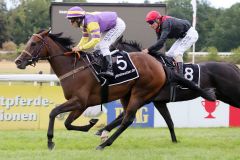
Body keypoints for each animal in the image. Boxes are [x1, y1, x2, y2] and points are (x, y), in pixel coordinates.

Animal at [14, 29, 215, 150]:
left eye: (33, 44)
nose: (18, 61)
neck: (73, 67)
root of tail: (160, 65)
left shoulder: (80, 101)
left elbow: (54, 113)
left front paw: (50, 140)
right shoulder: (80, 104)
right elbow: (67, 123)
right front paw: (90, 124)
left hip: (140, 92)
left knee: (128, 119)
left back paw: (105, 143)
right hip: (128, 95)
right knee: (126, 116)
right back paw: (105, 136)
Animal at [95, 37, 240, 142]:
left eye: (111, 49)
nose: (97, 58)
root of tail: (232, 66)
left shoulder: (145, 98)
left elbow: (123, 115)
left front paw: (102, 131)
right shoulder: (159, 102)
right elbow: (169, 122)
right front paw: (175, 141)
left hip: (233, 93)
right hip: (225, 96)